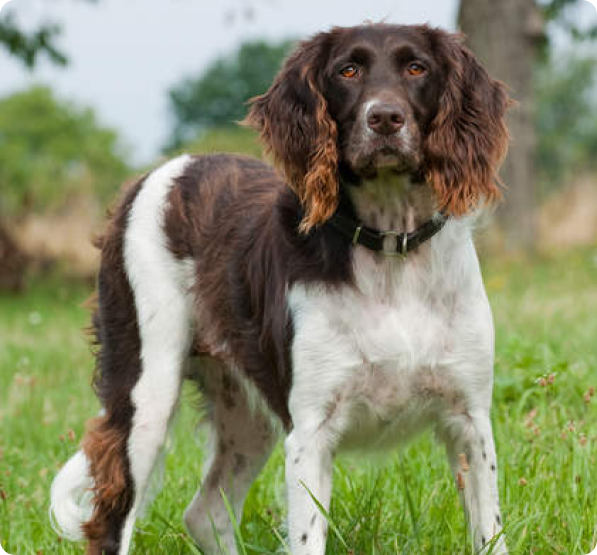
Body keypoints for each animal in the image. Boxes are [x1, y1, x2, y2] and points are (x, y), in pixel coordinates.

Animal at [49, 22, 510, 555]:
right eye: (347, 71)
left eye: (417, 68)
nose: (385, 118)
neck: (392, 253)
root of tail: (158, 174)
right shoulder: (311, 433)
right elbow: (309, 535)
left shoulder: (470, 422)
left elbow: (491, 531)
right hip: (146, 394)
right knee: (112, 522)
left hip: (243, 412)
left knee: (205, 511)